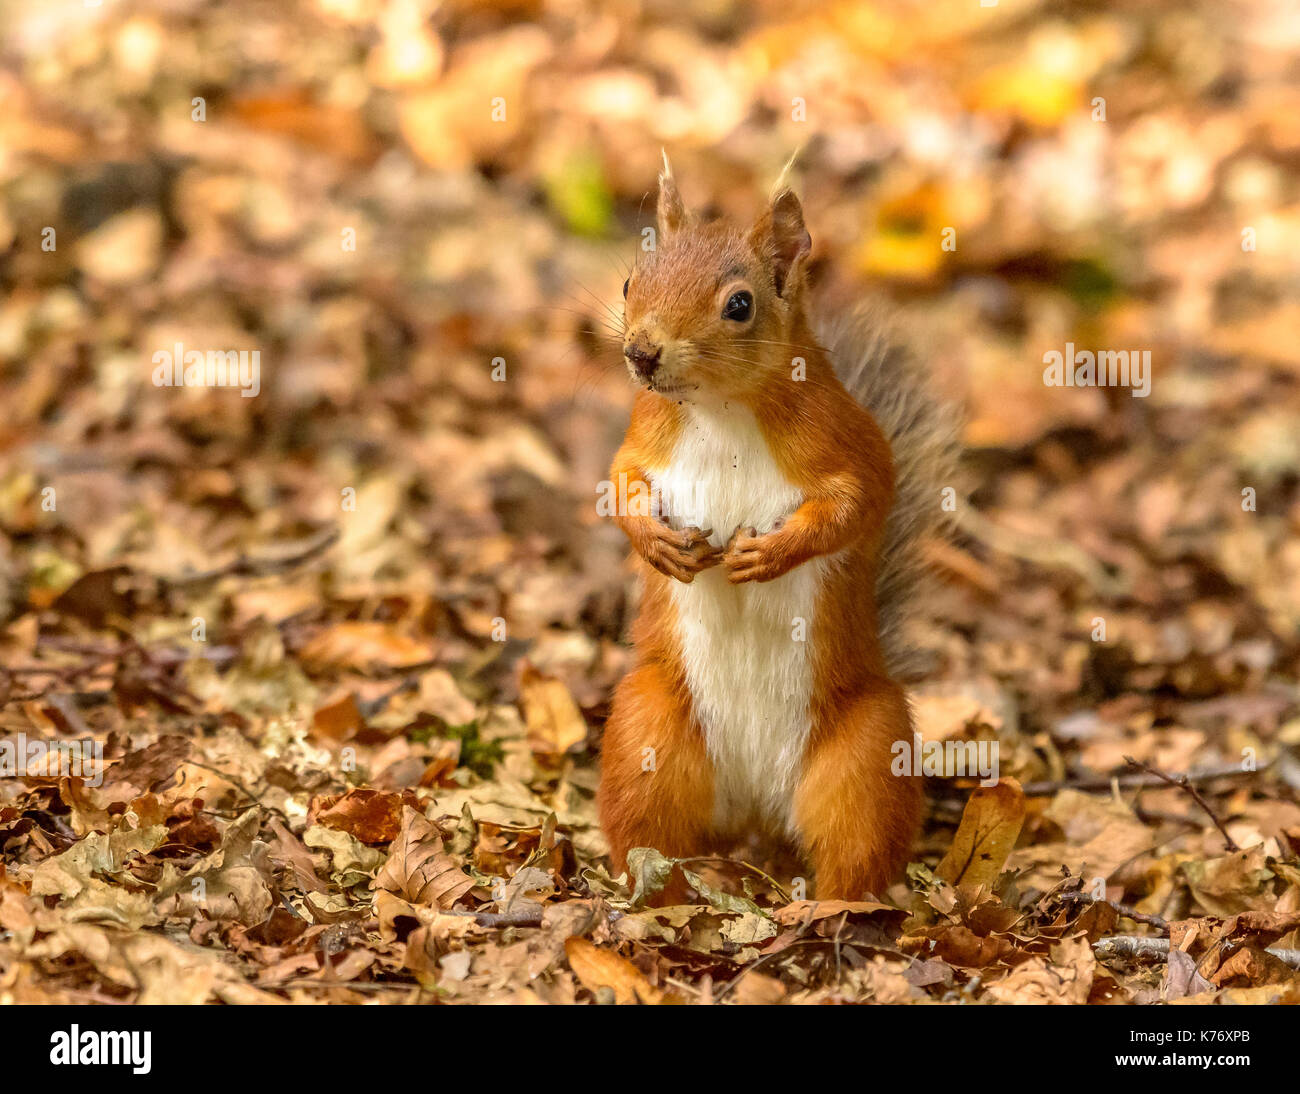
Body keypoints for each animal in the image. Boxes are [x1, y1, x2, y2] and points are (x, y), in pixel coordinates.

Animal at [597, 155, 959, 901]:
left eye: (740, 305)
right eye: (629, 281)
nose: (641, 353)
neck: (722, 409)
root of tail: (757, 810)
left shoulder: (851, 447)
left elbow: (854, 506)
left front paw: (771, 554)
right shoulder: (643, 439)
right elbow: (618, 485)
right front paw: (657, 545)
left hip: (867, 752)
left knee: (855, 849)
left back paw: (825, 908)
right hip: (646, 727)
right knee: (649, 831)